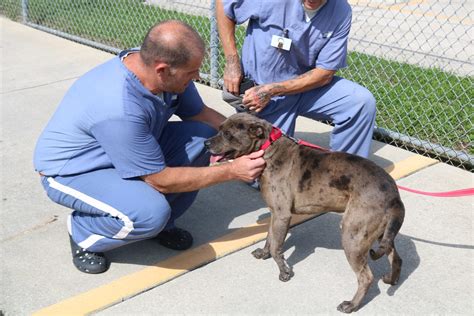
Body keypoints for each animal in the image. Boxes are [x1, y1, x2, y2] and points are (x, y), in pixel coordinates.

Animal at [206, 112, 406, 312]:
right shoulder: (275, 214)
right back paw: (391, 279)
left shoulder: (282, 215)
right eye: (220, 129)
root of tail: (393, 195)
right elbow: (270, 238)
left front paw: (284, 272)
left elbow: (277, 247)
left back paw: (352, 305)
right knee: (396, 258)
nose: (206, 144)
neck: (268, 147)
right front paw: (264, 254)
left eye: (228, 134)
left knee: (366, 277)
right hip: (379, 234)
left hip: (353, 237)